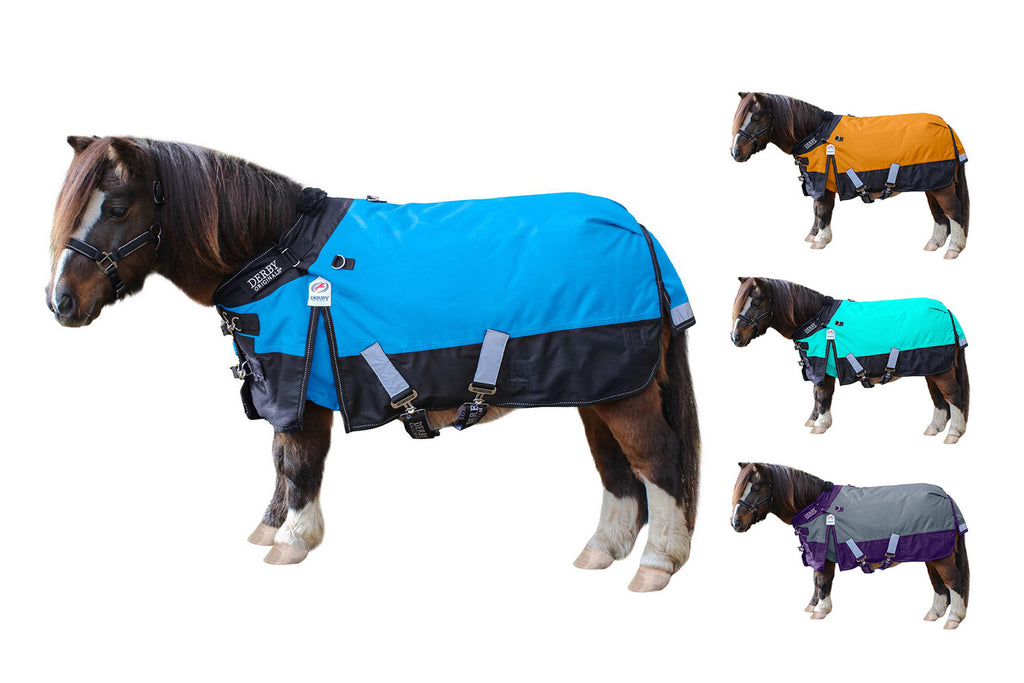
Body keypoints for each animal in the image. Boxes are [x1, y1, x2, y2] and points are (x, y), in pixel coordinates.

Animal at [44, 135, 700, 592]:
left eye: (118, 207)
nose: (60, 302)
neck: (276, 251)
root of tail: (637, 227)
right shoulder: (281, 383)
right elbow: (280, 460)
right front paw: (270, 527)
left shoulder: (299, 384)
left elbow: (299, 462)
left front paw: (293, 540)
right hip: (598, 388)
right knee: (617, 470)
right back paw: (601, 549)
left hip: (623, 392)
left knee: (656, 460)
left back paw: (656, 564)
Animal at [730, 92, 970, 259]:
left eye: (756, 117)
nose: (735, 153)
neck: (815, 134)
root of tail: (945, 125)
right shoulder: (817, 183)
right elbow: (816, 211)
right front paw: (812, 235)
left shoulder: (822, 183)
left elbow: (822, 211)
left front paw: (821, 240)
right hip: (933, 184)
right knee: (939, 214)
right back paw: (933, 243)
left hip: (940, 185)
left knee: (953, 210)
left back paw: (953, 248)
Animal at [730, 277, 969, 443]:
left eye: (756, 302)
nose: (736, 337)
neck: (815, 319)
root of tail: (946, 310)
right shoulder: (817, 367)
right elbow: (816, 396)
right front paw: (812, 420)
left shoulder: (823, 367)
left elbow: (823, 396)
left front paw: (820, 424)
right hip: (932, 369)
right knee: (939, 399)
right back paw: (933, 428)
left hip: (941, 370)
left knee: (953, 396)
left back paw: (953, 433)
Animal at [730, 462, 970, 629]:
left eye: (756, 487)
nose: (735, 523)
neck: (815, 506)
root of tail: (945, 495)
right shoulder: (818, 553)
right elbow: (816, 581)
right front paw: (812, 605)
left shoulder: (823, 555)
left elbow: (823, 581)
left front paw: (820, 610)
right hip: (932, 555)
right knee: (939, 585)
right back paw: (933, 614)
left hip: (941, 557)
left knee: (953, 582)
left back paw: (953, 619)